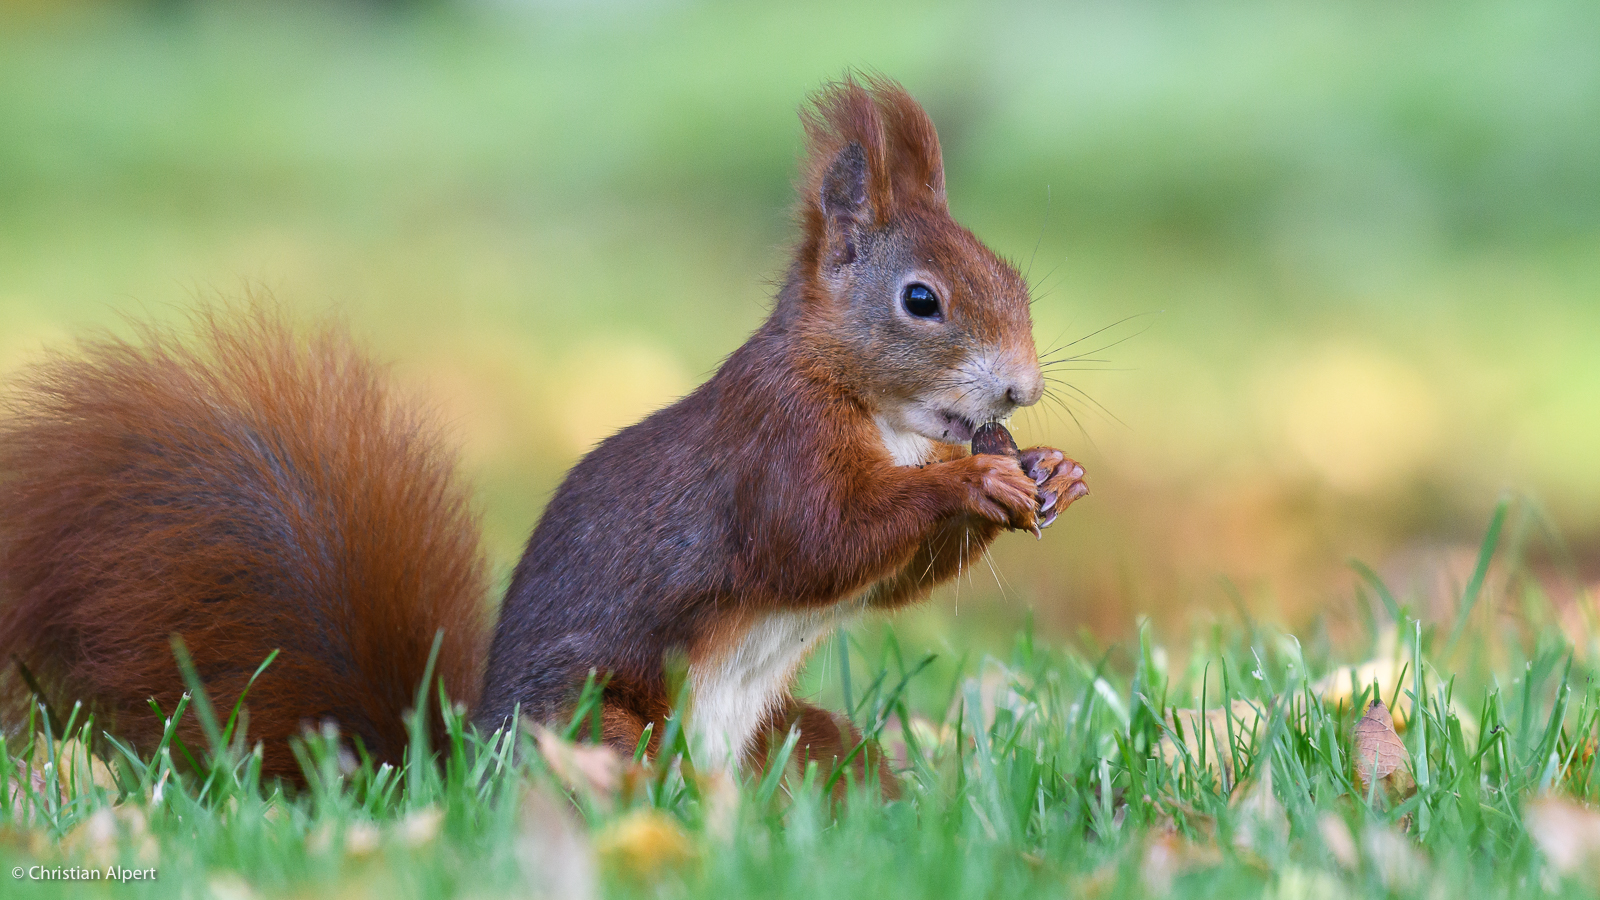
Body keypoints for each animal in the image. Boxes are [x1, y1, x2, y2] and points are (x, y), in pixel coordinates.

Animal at [0, 78, 1088, 791]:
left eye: (1017, 281)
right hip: (595, 728)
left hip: (797, 741)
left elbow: (891, 578)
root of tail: (451, 781)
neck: (882, 416)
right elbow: (822, 539)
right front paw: (969, 485)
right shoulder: (772, 447)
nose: (1023, 387)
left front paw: (1054, 473)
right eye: (921, 301)